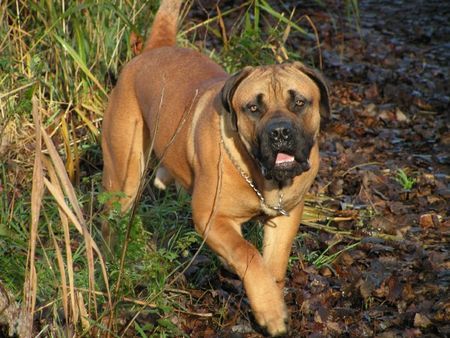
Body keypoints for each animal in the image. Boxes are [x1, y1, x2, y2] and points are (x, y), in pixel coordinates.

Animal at [100, 0, 328, 332]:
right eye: (253, 108)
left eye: (299, 102)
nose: (280, 132)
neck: (259, 177)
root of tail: (155, 49)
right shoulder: (210, 216)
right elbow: (248, 253)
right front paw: (271, 311)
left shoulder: (286, 217)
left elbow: (273, 263)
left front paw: (272, 297)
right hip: (124, 174)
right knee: (111, 220)